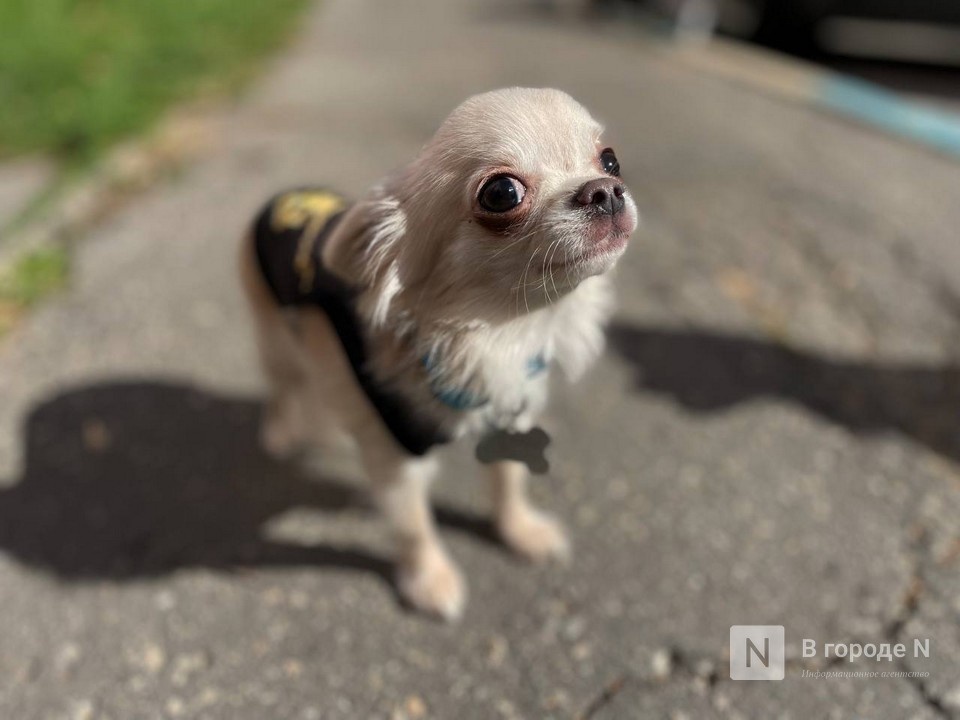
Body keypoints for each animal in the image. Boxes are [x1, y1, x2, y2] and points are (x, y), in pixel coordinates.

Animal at [242, 88, 636, 620]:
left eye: (610, 160)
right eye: (502, 194)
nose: (606, 190)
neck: (500, 335)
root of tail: (286, 195)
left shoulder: (510, 415)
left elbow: (508, 480)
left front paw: (520, 531)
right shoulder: (396, 459)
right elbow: (414, 526)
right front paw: (430, 580)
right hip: (274, 337)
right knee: (285, 386)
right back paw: (282, 432)